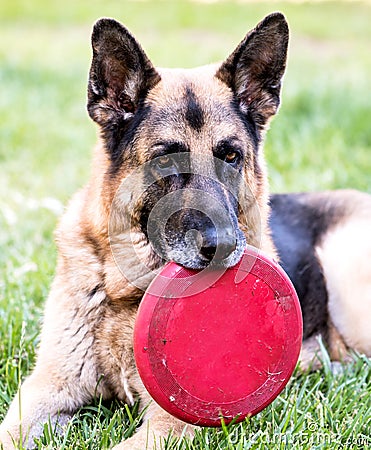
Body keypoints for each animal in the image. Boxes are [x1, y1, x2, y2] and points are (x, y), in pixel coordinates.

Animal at [0, 12, 371, 448]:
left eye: (231, 156)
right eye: (166, 161)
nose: (223, 246)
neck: (126, 293)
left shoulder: (169, 420)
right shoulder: (49, 384)